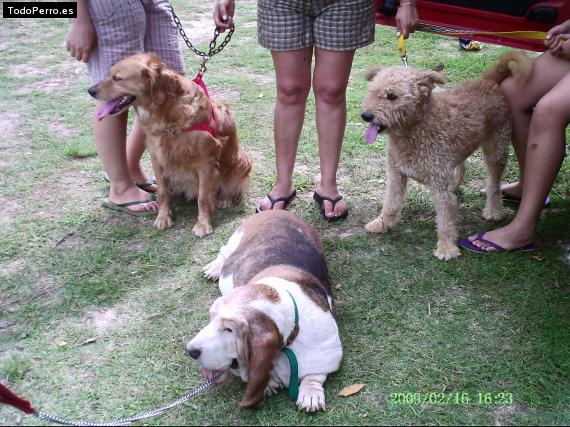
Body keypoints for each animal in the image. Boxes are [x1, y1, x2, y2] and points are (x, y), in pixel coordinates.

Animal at [87, 53, 251, 237]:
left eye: (117, 78)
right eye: (109, 74)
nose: (90, 90)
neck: (167, 114)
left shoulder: (206, 163)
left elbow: (203, 197)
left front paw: (203, 224)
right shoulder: (157, 157)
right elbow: (163, 192)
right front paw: (163, 217)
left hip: (242, 161)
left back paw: (224, 199)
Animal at [185, 211, 342, 412]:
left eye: (229, 330)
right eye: (211, 319)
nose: (190, 351)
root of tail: (278, 211)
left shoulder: (329, 353)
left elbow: (314, 374)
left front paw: (310, 394)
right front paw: (269, 383)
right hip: (236, 239)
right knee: (224, 252)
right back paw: (214, 268)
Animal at [362, 51, 532, 260]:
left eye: (392, 96)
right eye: (372, 91)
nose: (366, 116)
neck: (415, 129)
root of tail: (488, 81)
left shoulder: (440, 186)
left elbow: (445, 221)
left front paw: (446, 249)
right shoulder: (396, 176)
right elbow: (391, 203)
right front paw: (382, 223)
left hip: (496, 150)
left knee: (494, 184)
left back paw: (493, 211)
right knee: (463, 165)